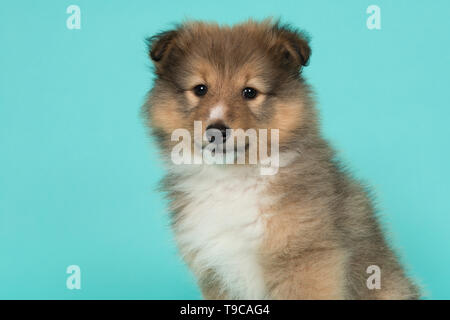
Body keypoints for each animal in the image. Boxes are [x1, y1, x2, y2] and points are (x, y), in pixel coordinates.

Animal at [142, 19, 420, 300]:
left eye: (250, 92)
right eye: (200, 89)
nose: (216, 131)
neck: (233, 179)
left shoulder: (305, 260)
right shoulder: (216, 270)